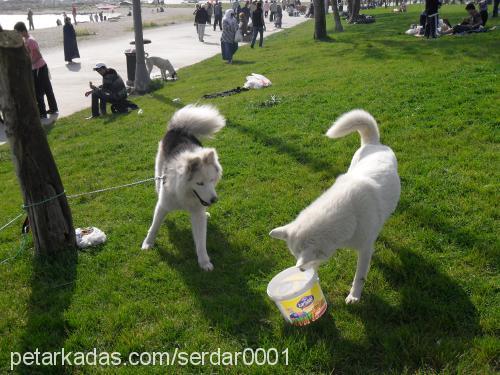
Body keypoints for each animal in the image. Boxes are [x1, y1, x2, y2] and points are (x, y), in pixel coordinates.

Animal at [142, 104, 226, 272]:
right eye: (200, 183)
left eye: (212, 180)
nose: (214, 200)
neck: (185, 194)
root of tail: (179, 128)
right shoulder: (164, 204)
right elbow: (154, 226)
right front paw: (148, 243)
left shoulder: (197, 213)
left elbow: (201, 241)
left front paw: (204, 262)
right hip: (157, 178)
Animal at [270, 110, 402, 304]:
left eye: (302, 263)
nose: (300, 270)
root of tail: (373, 143)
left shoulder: (364, 250)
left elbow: (359, 276)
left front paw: (354, 296)